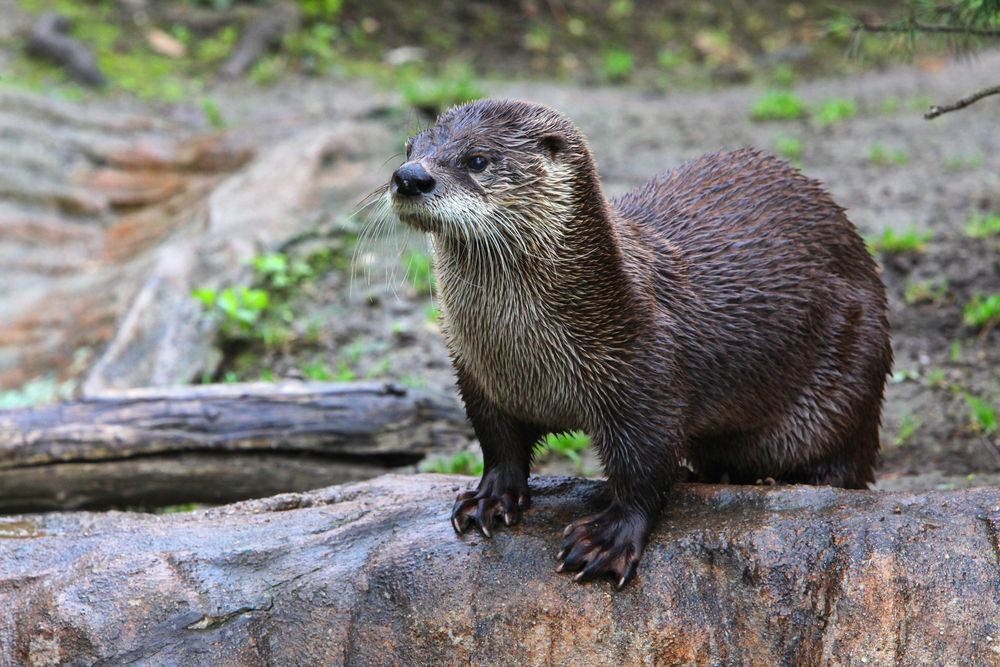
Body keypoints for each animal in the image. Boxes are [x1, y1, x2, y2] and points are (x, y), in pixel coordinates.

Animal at [388, 99, 892, 588]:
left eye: (479, 159)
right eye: (411, 147)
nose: (409, 177)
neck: (525, 359)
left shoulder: (646, 376)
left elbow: (644, 469)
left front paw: (607, 539)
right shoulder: (477, 378)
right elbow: (499, 444)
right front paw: (489, 497)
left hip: (852, 379)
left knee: (841, 466)